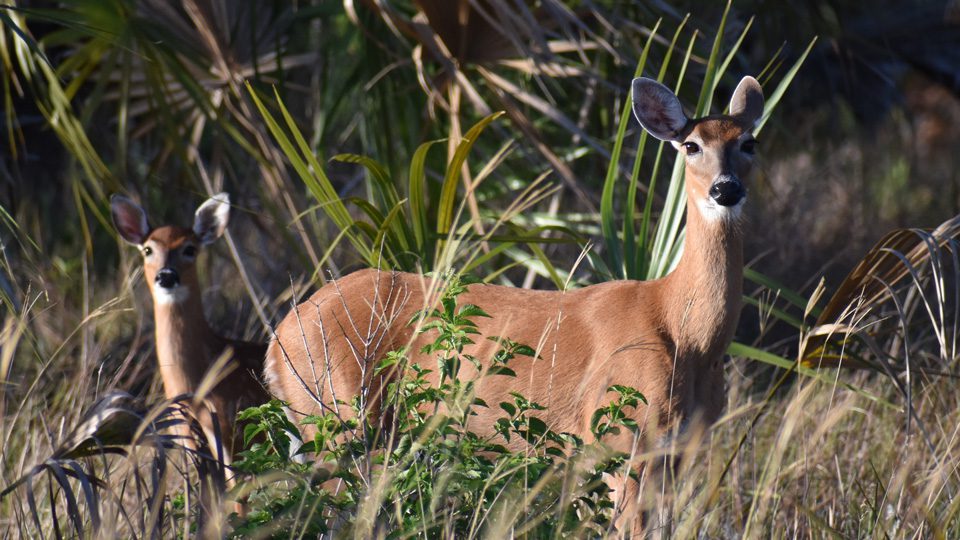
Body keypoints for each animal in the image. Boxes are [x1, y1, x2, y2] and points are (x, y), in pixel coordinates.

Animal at [264, 75, 764, 533]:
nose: (725, 189)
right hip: (339, 414)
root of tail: (279, 337)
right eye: (692, 145)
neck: (683, 332)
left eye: (749, 142)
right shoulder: (620, 436)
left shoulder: (680, 451)